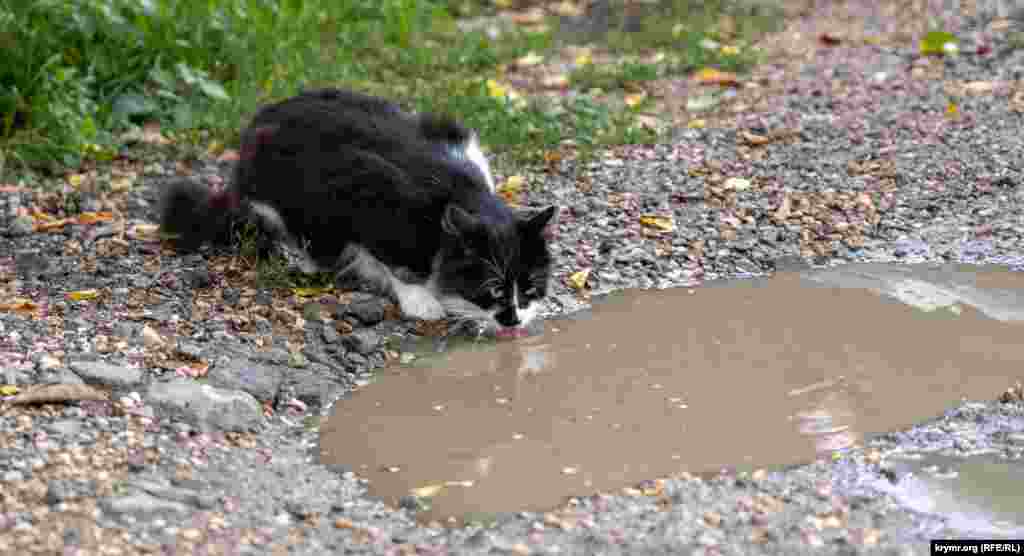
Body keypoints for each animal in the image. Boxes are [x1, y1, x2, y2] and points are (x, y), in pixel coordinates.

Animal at [159, 87, 557, 331]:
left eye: (530, 285)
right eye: (494, 289)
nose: (515, 320)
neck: (459, 193)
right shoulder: (365, 192)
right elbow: (395, 259)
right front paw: (422, 300)